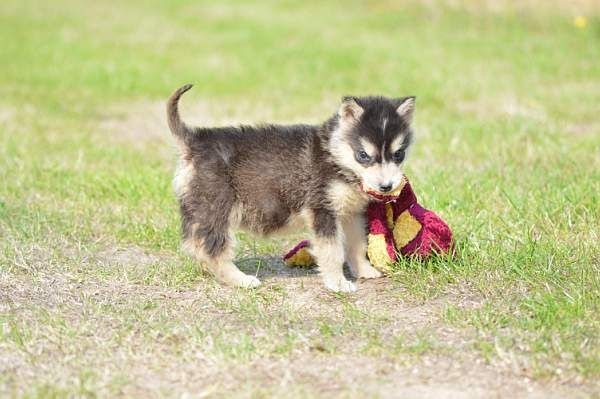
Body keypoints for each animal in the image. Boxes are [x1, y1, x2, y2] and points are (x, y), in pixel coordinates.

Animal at [166, 84, 414, 292]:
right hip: (216, 207)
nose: (386, 187)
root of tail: (194, 140)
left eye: (398, 154)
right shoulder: (322, 210)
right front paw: (338, 283)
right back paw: (240, 279)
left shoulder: (352, 213)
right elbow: (333, 251)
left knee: (195, 244)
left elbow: (357, 244)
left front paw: (364, 270)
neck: (334, 157)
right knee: (211, 249)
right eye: (363, 155)